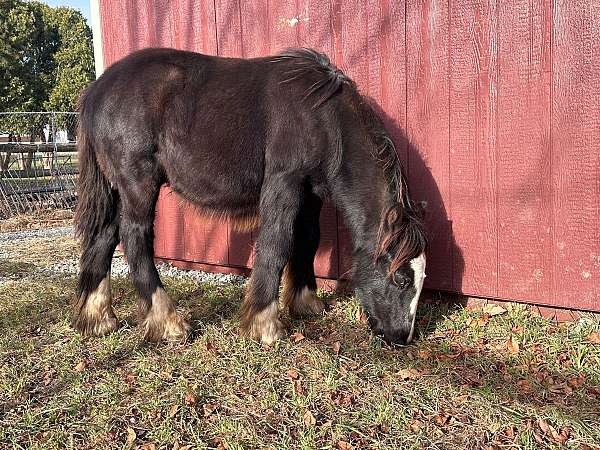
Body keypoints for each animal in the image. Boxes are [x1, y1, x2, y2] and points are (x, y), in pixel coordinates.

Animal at [74, 48, 426, 344]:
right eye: (402, 279)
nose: (401, 338)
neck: (321, 116)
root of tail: (96, 90)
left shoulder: (311, 194)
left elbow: (308, 240)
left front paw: (305, 303)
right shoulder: (283, 182)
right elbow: (276, 244)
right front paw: (265, 324)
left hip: (116, 188)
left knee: (104, 236)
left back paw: (98, 319)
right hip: (138, 182)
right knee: (135, 238)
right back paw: (168, 322)